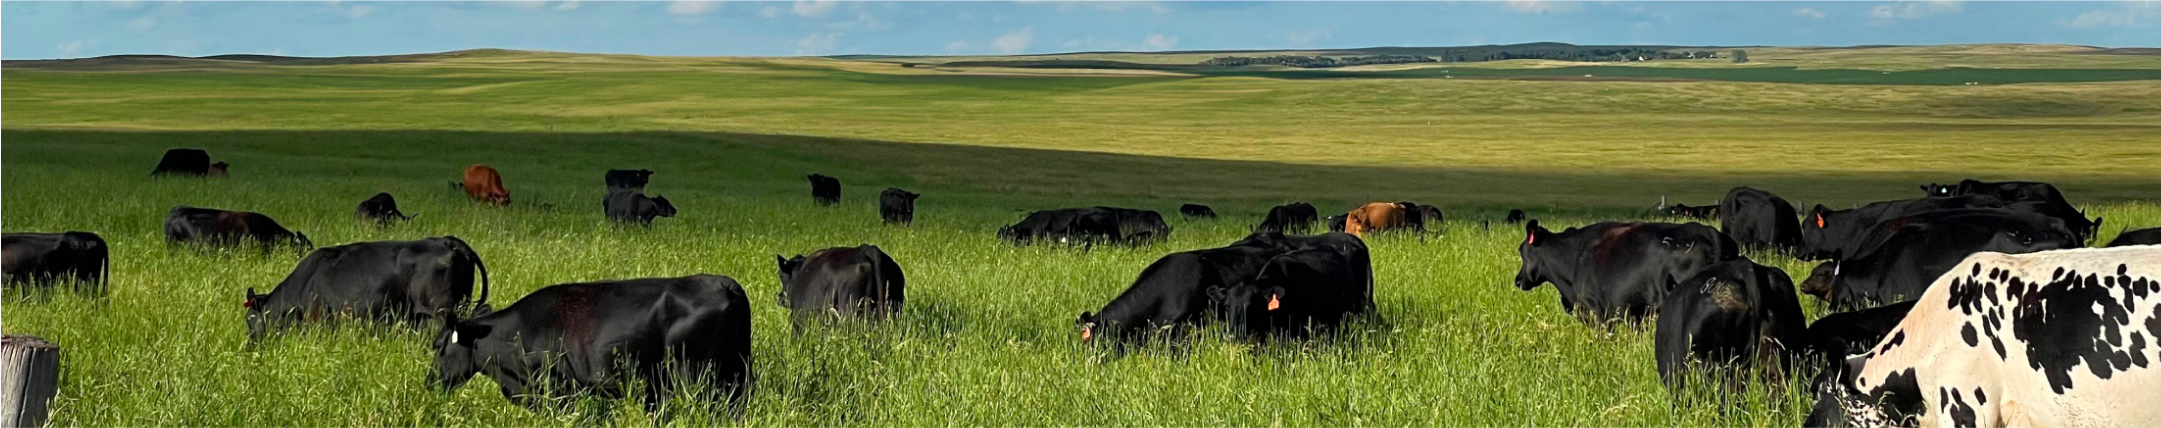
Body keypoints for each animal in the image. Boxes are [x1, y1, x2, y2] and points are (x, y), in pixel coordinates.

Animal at [430, 275, 754, 414]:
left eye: (438, 346)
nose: (428, 383)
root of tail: (724, 283)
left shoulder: (556, 389)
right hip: (736, 369)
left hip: (694, 373)